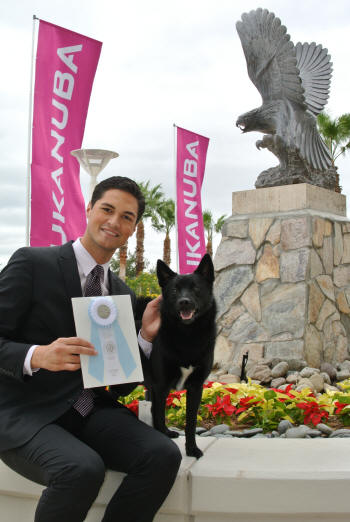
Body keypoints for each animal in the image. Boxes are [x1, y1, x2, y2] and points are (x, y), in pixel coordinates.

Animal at [142, 254, 216, 458]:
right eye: (175, 290)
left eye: (196, 288)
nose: (184, 301)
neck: (187, 335)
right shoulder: (160, 386)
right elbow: (159, 416)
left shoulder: (196, 387)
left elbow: (191, 423)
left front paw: (191, 449)